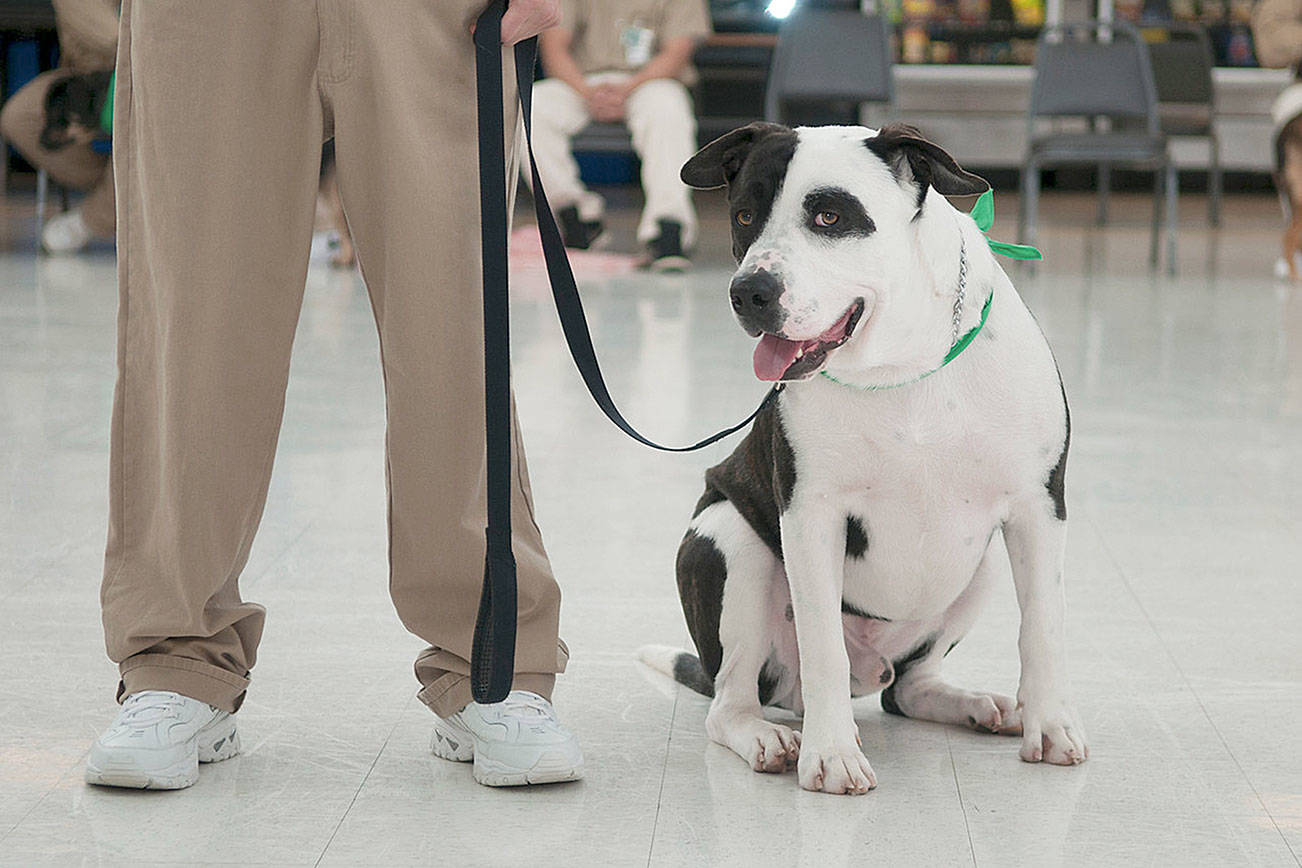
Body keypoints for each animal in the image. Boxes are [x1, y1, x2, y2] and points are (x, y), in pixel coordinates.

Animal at [643, 122, 1088, 796]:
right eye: (744, 215)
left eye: (830, 216)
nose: (749, 291)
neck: (901, 367)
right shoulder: (810, 518)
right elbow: (822, 642)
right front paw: (831, 756)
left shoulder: (1038, 510)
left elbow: (1043, 628)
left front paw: (1052, 726)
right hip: (731, 541)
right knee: (731, 701)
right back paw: (767, 737)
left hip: (980, 562)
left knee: (907, 690)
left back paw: (973, 704)